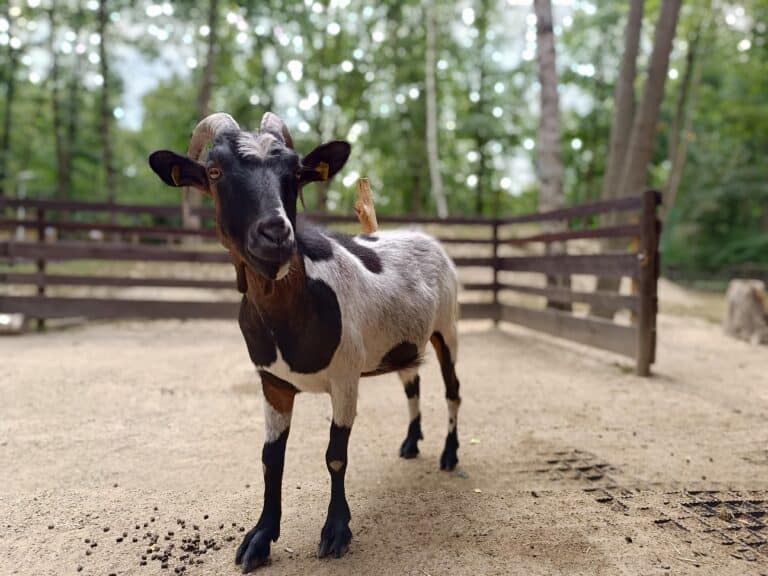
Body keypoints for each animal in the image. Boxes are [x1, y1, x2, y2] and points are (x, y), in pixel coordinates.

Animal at [148, 112, 462, 573]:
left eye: (296, 173)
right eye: (214, 171)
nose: (275, 232)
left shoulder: (346, 378)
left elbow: (335, 455)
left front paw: (336, 532)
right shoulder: (272, 383)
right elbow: (270, 459)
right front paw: (260, 538)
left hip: (448, 327)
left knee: (453, 390)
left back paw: (450, 454)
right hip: (406, 340)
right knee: (411, 382)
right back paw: (410, 443)